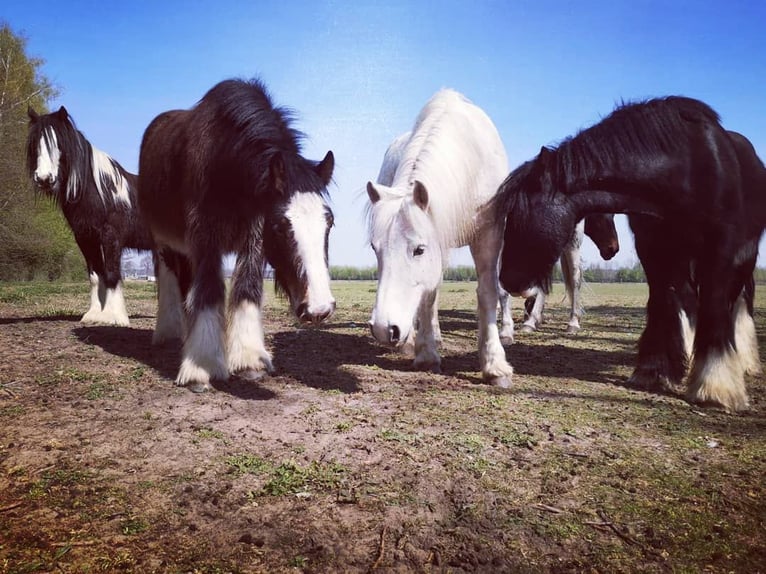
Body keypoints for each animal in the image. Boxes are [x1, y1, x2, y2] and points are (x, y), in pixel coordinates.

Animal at [25, 106, 153, 326]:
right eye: (35, 144)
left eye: (59, 143)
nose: (44, 179)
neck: (101, 193)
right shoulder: (86, 238)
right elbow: (95, 275)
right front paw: (94, 315)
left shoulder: (111, 237)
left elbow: (111, 274)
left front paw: (116, 317)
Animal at [139, 79, 336, 394]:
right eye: (280, 226)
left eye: (329, 222)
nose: (319, 310)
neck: (225, 164)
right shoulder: (205, 237)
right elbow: (209, 289)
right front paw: (201, 367)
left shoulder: (253, 235)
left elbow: (246, 286)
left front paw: (248, 360)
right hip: (164, 241)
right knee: (170, 279)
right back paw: (169, 334)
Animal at [498, 99, 766, 414]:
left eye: (518, 214)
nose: (507, 281)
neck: (684, 167)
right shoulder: (653, 251)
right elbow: (662, 303)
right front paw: (654, 370)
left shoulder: (721, 251)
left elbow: (714, 304)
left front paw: (715, 386)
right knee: (688, 299)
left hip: (742, 256)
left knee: (738, 299)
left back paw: (742, 361)